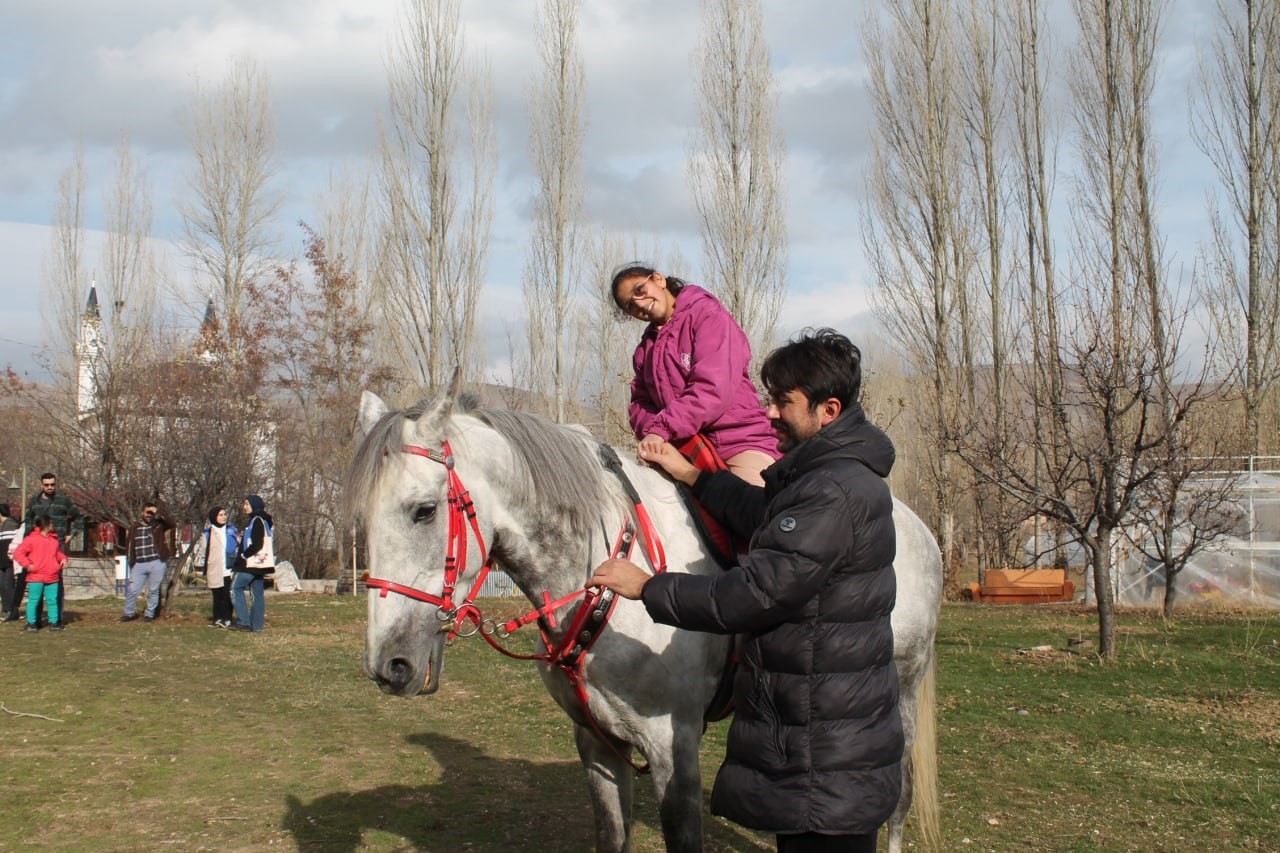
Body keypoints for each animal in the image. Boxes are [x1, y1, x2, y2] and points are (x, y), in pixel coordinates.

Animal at [345, 384, 947, 850]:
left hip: (901, 689)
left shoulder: (671, 747)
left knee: (896, 797)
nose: (388, 666)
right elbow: (613, 836)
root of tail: (919, 529)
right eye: (363, 519)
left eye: (424, 510)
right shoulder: (597, 745)